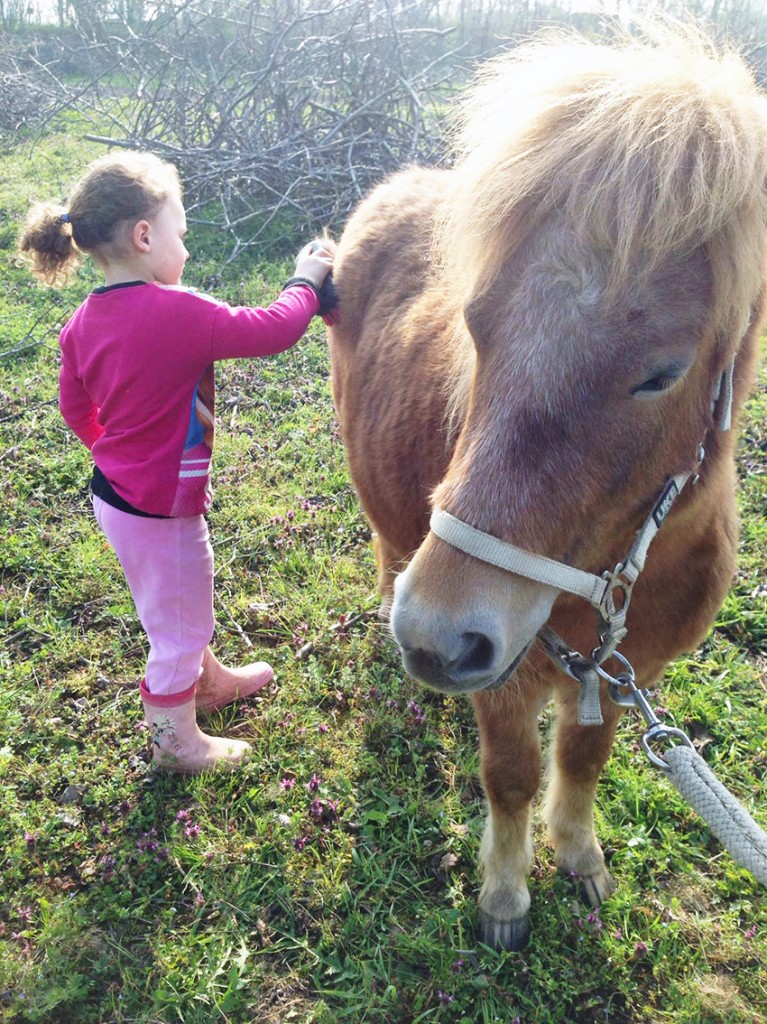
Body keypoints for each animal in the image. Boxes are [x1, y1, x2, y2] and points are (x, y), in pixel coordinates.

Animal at [325, 25, 765, 950]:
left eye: (660, 374)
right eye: (475, 324)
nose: (434, 637)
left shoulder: (629, 672)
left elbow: (582, 758)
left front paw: (577, 855)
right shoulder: (505, 682)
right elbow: (511, 775)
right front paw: (504, 895)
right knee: (385, 543)